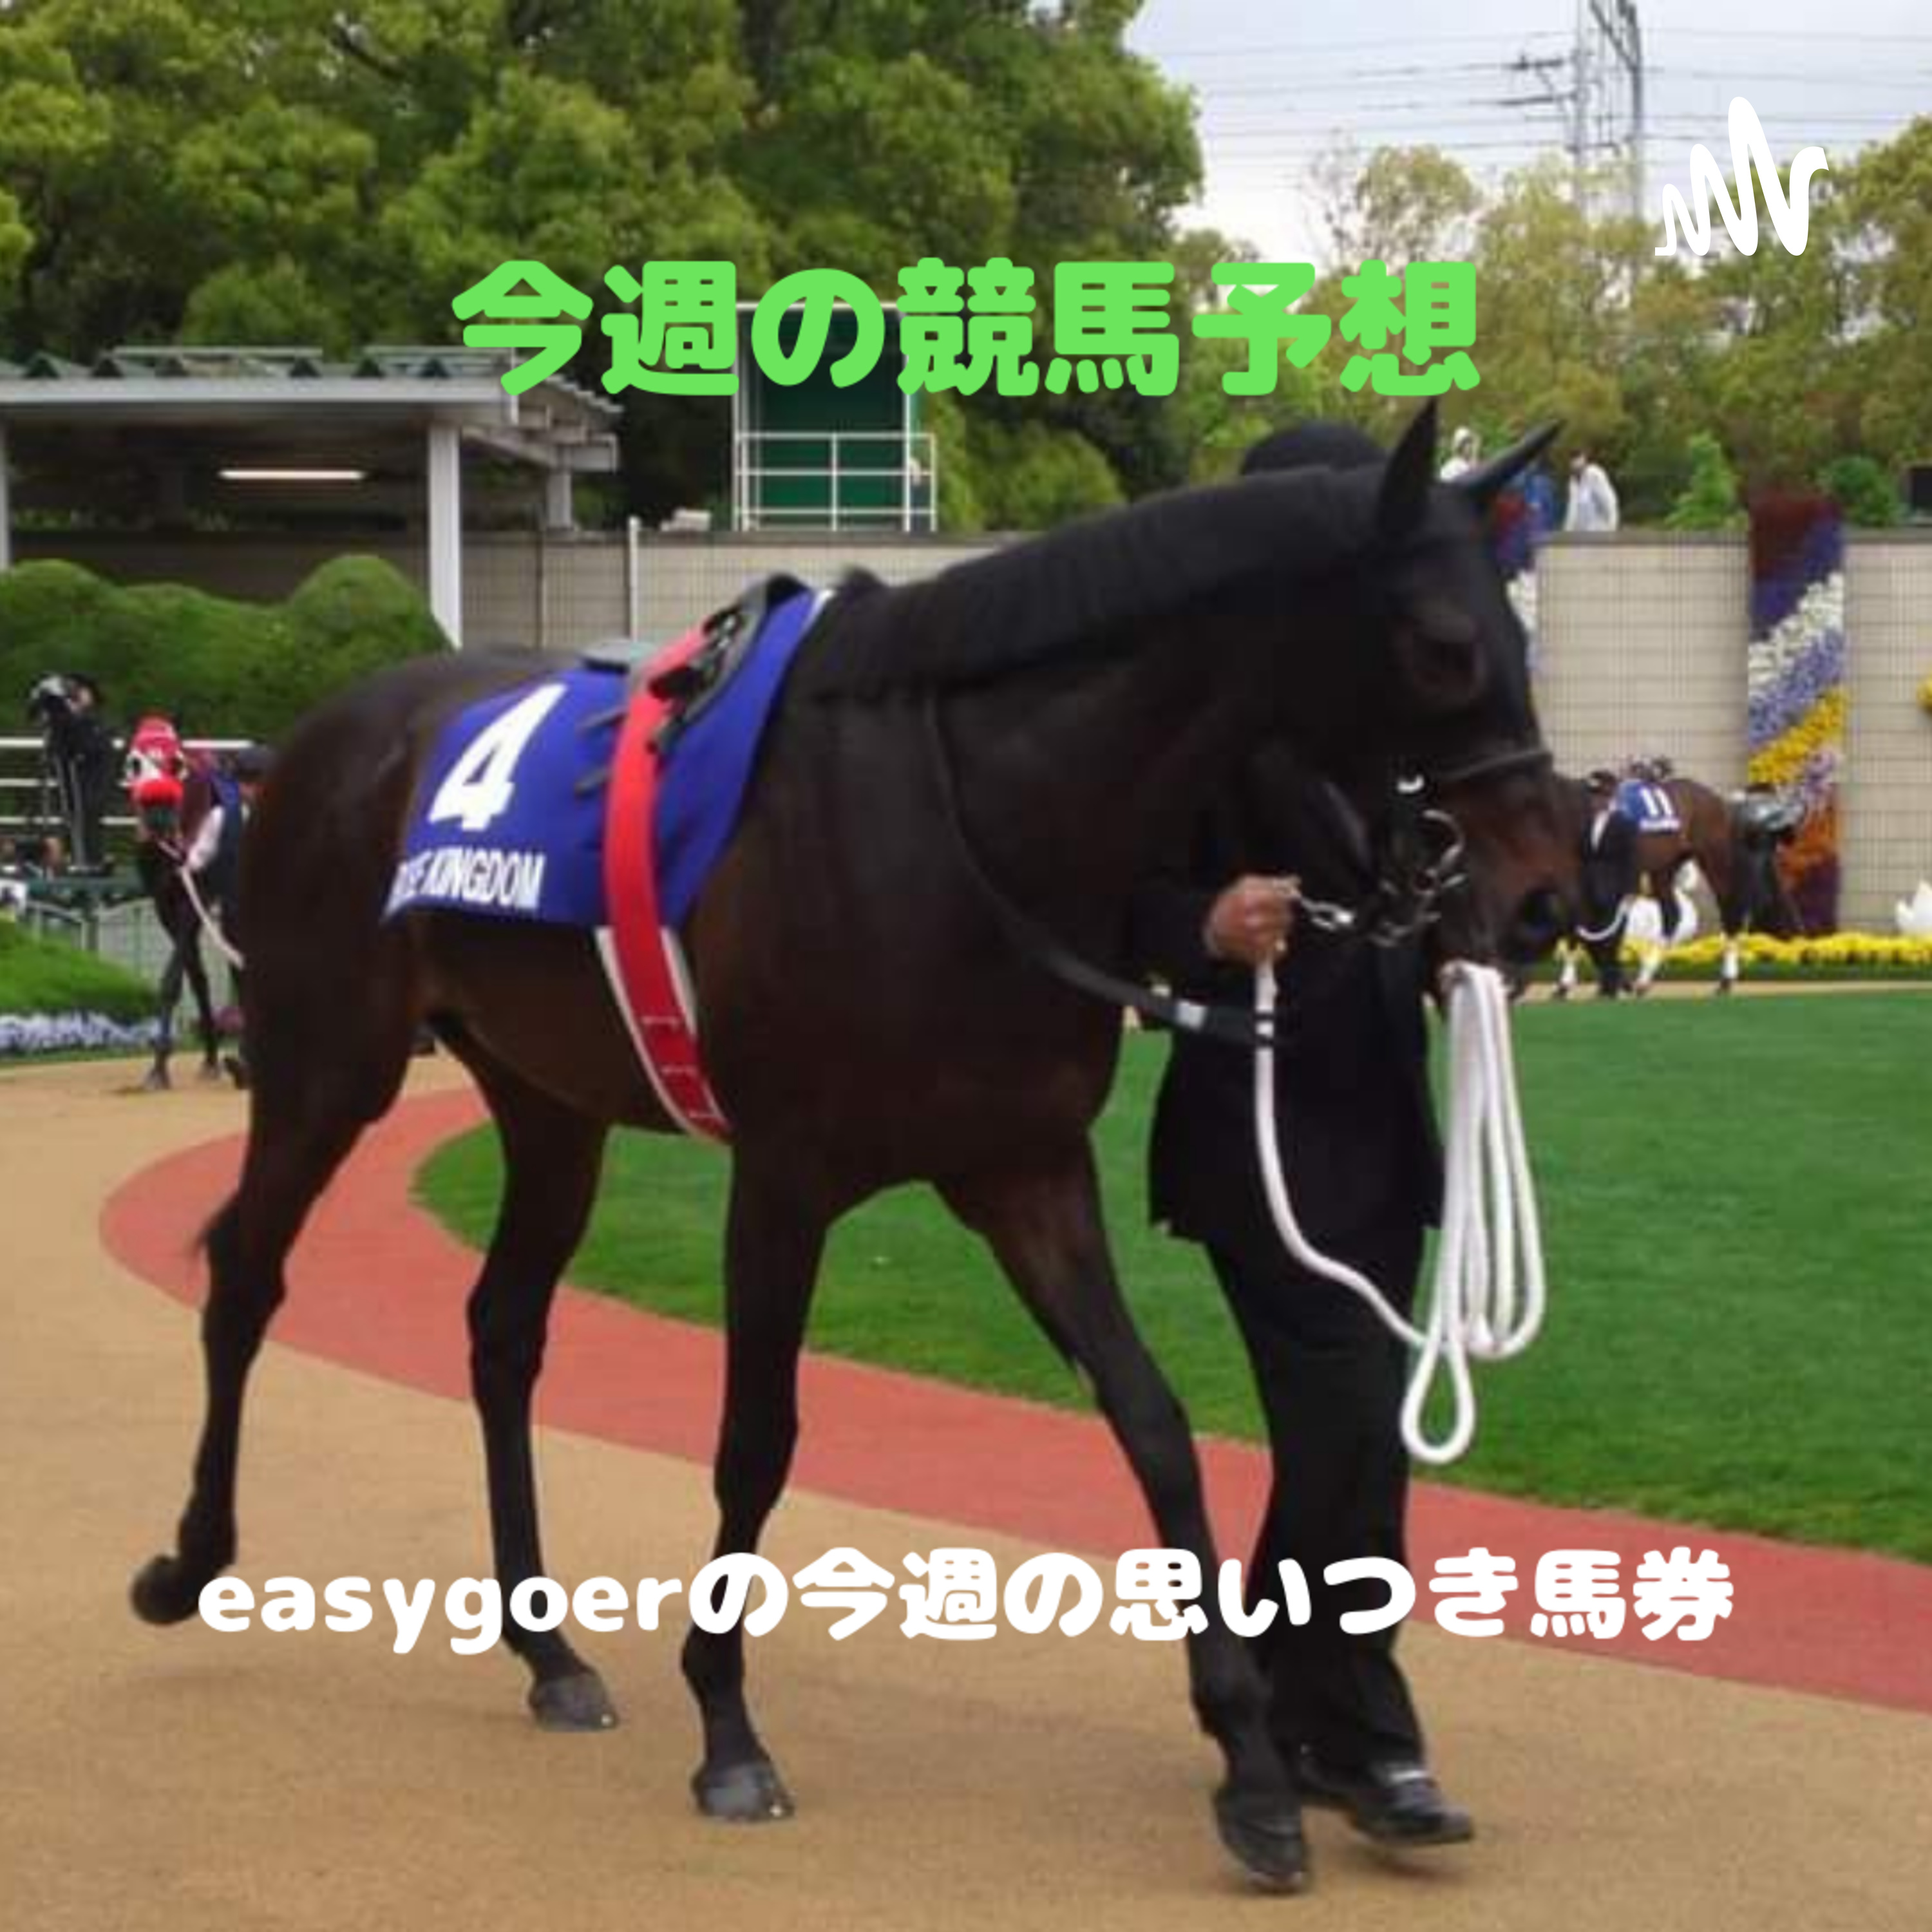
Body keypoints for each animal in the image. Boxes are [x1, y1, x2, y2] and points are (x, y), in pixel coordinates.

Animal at [129, 403, 1575, 1893]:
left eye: (1514, 637)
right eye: (1447, 647)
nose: (1541, 902)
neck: (962, 818)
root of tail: (322, 738)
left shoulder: (1025, 1169)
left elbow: (1155, 1426)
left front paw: (1252, 1765)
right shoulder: (784, 1177)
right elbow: (758, 1439)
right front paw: (727, 1727)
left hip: (547, 1104)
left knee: (500, 1331)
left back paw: (546, 1648)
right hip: (326, 1065)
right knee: (247, 1274)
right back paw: (190, 1561)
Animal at [1556, 768, 1802, 998]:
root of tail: (1719, 801)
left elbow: (1592, 928)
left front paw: (1579, 984)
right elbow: (1594, 928)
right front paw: (1593, 984)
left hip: (1716, 860)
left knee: (1730, 912)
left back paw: (1725, 980)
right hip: (1664, 867)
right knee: (1671, 914)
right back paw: (1644, 980)